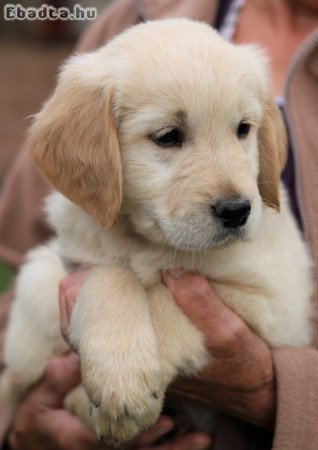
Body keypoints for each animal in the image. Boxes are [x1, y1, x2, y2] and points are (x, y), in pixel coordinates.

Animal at [0, 18, 314, 442]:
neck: (149, 243)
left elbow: (167, 301)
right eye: (168, 136)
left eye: (243, 129)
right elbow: (112, 276)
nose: (237, 211)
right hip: (36, 285)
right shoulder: (77, 263)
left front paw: (120, 389)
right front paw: (119, 371)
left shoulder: (275, 303)